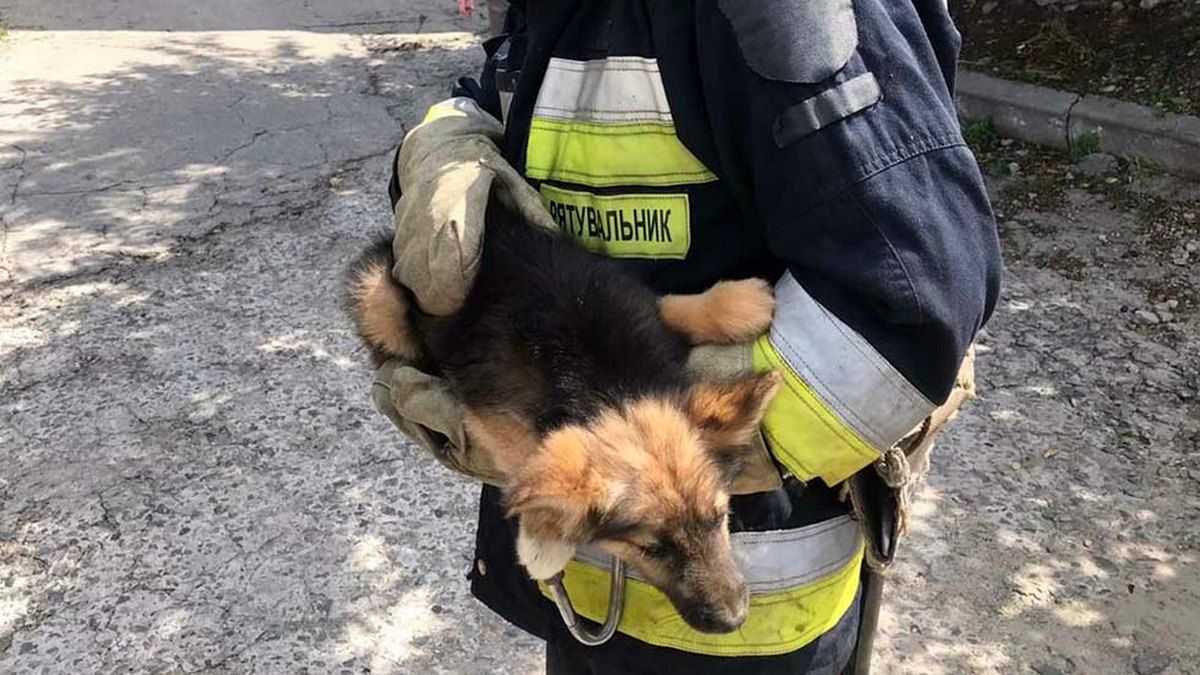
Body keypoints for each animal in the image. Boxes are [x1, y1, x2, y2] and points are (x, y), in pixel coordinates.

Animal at [348, 199, 777, 629]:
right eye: (650, 549)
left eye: (719, 517)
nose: (734, 620)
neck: (608, 383)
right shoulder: (490, 409)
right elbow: (528, 460)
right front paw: (542, 538)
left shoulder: (626, 296)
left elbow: (668, 304)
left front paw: (740, 302)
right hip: (376, 290)